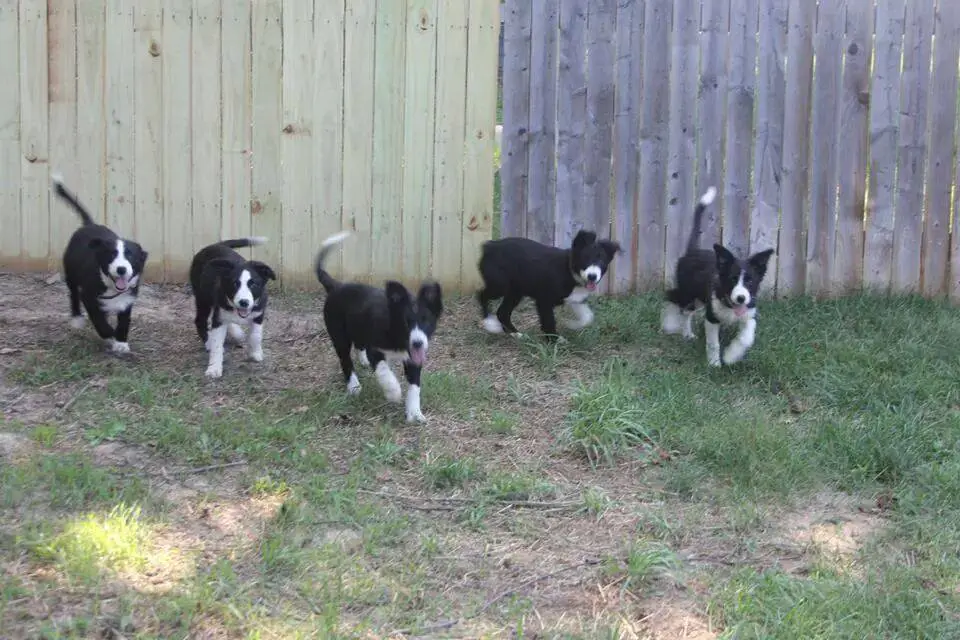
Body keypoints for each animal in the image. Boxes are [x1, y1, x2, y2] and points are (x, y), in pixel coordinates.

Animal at [54, 174, 150, 356]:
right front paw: (109, 335)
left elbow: (124, 322)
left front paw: (120, 342)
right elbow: (99, 320)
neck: (110, 286)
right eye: (111, 254)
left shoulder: (127, 299)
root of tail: (89, 225)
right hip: (70, 272)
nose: (121, 269)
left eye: (130, 255)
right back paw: (76, 319)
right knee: (73, 293)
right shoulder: (88, 296)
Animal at [188, 240, 276, 380]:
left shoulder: (258, 314)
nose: (244, 302)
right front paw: (214, 368)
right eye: (235, 284)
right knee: (200, 320)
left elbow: (256, 336)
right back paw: (208, 343)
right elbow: (217, 346)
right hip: (202, 298)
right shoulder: (219, 319)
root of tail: (213, 245)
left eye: (253, 284)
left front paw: (256, 353)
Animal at [318, 232, 446, 422]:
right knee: (345, 360)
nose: (418, 343)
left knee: (359, 344)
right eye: (406, 322)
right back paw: (354, 386)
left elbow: (415, 386)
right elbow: (384, 371)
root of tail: (336, 286)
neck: (396, 336)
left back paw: (362, 361)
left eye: (426, 321)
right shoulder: (376, 349)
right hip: (338, 334)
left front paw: (414, 412)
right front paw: (393, 392)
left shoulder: (414, 358)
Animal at [474, 230, 624, 340]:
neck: (569, 270)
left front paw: (572, 325)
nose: (592, 276)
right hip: (500, 285)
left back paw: (516, 334)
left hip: (515, 291)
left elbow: (588, 317)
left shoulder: (576, 298)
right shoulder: (544, 300)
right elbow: (549, 321)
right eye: (585, 259)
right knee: (481, 295)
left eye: (601, 261)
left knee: (502, 312)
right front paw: (554, 340)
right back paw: (489, 323)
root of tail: (489, 246)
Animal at [664, 185, 776, 364]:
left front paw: (731, 356)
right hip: (688, 294)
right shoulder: (711, 317)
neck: (730, 306)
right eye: (732, 279)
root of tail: (692, 251)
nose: (741, 298)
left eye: (750, 281)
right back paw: (677, 327)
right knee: (680, 305)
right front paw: (714, 364)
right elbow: (713, 343)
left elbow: (746, 338)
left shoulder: (749, 314)